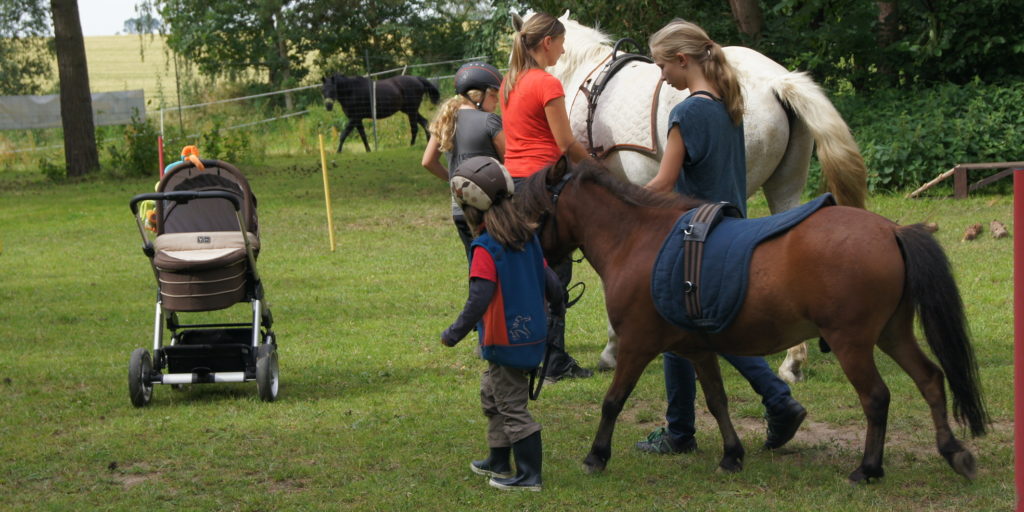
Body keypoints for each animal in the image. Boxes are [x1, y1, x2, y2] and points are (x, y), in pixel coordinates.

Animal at [520, 157, 991, 481]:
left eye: (531, 210)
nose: (540, 268)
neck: (638, 240)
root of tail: (891, 230)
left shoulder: (637, 345)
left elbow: (613, 401)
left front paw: (596, 456)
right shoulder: (698, 349)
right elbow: (716, 401)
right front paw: (732, 454)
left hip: (852, 343)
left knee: (876, 397)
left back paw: (869, 468)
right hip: (892, 334)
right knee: (930, 379)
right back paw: (952, 451)